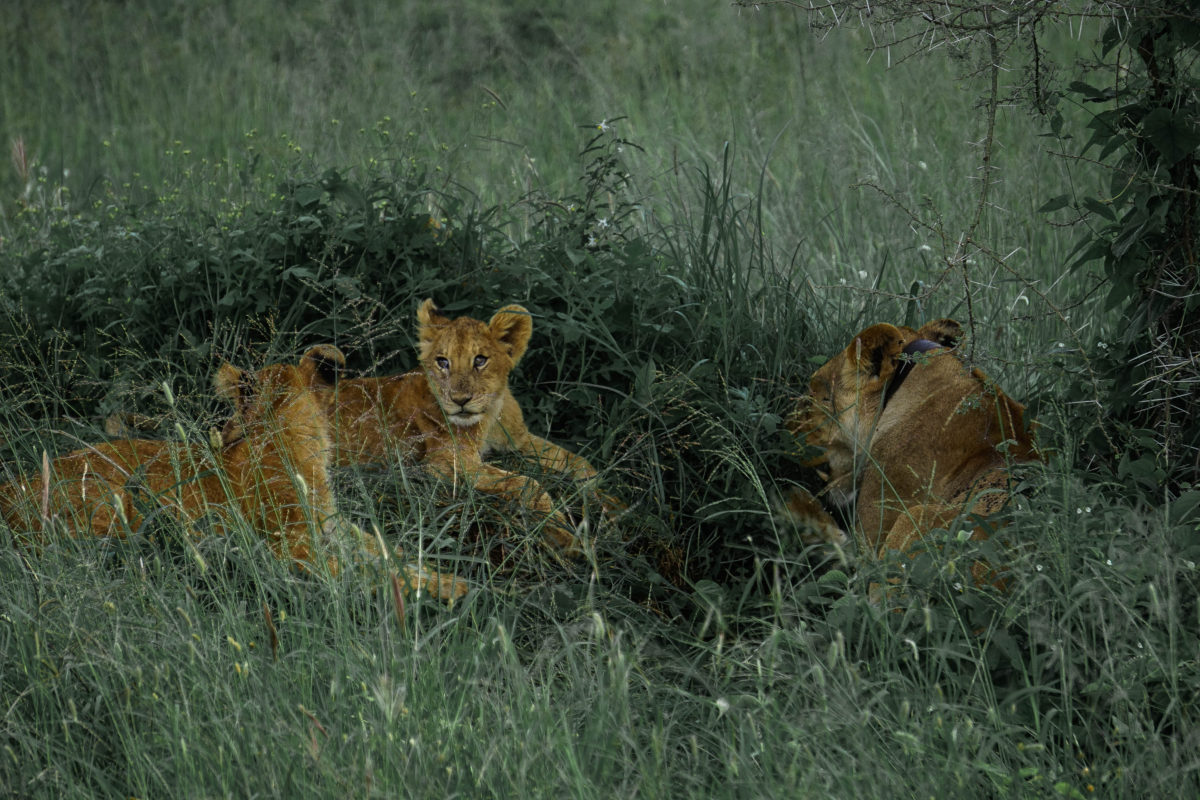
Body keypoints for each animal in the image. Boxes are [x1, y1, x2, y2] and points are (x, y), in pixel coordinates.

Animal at [0, 353, 467, 600]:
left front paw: (454, 579)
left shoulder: (337, 532)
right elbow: (372, 574)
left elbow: (392, 554)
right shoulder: (293, 552)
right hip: (112, 504)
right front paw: (448, 593)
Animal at [298, 299, 608, 557]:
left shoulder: (518, 442)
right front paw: (568, 538)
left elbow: (580, 463)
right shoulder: (448, 464)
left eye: (480, 360)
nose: (460, 400)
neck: (490, 415)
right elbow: (528, 483)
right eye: (442, 362)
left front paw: (605, 503)